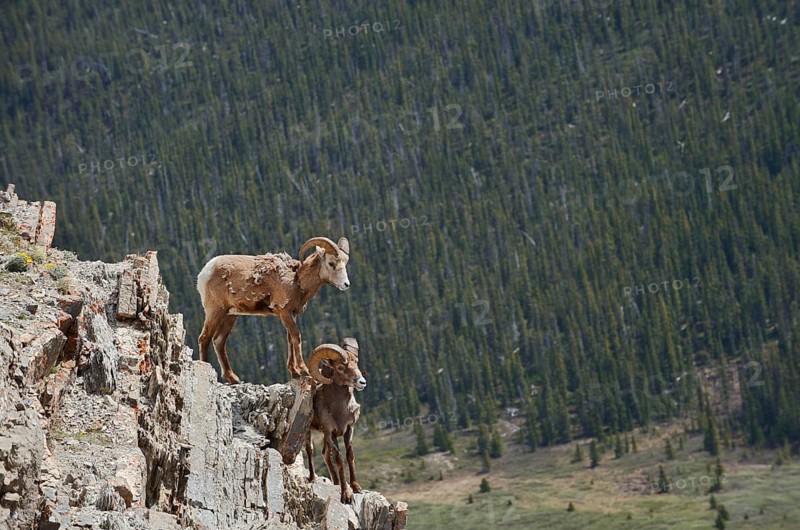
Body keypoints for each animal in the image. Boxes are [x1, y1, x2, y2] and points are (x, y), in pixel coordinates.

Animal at [196, 236, 350, 384]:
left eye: (345, 263)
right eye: (331, 263)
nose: (346, 284)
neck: (297, 281)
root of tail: (205, 272)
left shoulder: (291, 314)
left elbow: (290, 340)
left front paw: (294, 372)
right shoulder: (284, 312)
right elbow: (296, 337)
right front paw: (304, 370)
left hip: (230, 315)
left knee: (219, 341)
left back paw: (234, 379)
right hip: (215, 311)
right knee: (204, 338)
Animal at [305, 337, 366, 504]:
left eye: (356, 363)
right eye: (340, 367)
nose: (362, 382)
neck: (339, 411)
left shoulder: (349, 429)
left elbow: (350, 455)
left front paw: (356, 488)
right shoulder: (330, 432)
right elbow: (339, 459)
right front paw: (346, 496)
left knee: (325, 454)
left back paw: (336, 482)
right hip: (309, 432)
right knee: (310, 451)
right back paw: (312, 479)